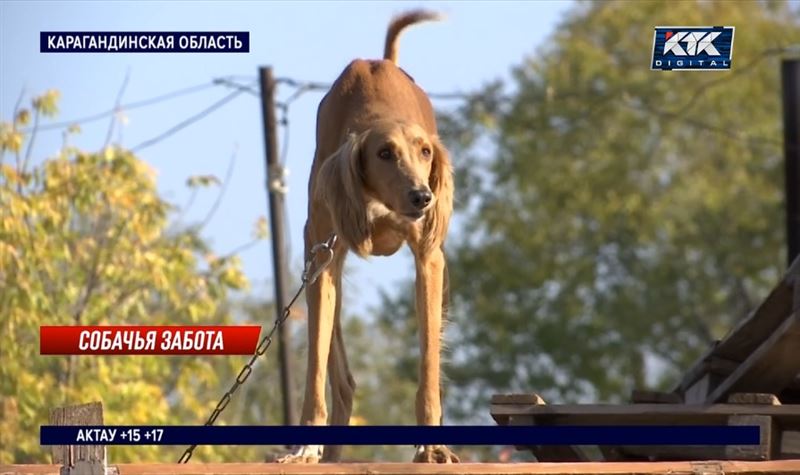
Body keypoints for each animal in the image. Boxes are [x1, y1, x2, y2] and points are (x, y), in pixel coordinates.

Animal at [278, 11, 456, 464]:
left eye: (425, 152)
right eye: (384, 154)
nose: (422, 197)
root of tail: (381, 62)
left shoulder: (429, 260)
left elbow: (429, 366)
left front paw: (432, 446)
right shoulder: (320, 260)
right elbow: (315, 367)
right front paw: (304, 445)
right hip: (324, 262)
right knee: (341, 377)